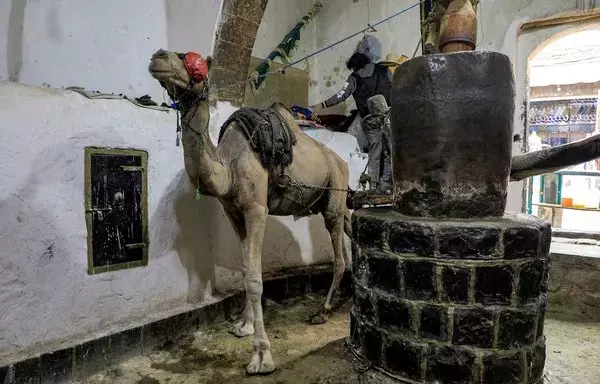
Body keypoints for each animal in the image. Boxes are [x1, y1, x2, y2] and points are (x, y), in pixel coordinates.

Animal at [149, 49, 352, 374]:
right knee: (350, 228)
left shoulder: (256, 209)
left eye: (192, 61)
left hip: (334, 193)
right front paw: (243, 325)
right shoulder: (234, 212)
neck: (228, 165)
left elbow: (255, 279)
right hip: (337, 201)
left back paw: (322, 310)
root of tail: (342, 162)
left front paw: (261, 356)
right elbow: (245, 269)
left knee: (339, 257)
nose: (158, 57)